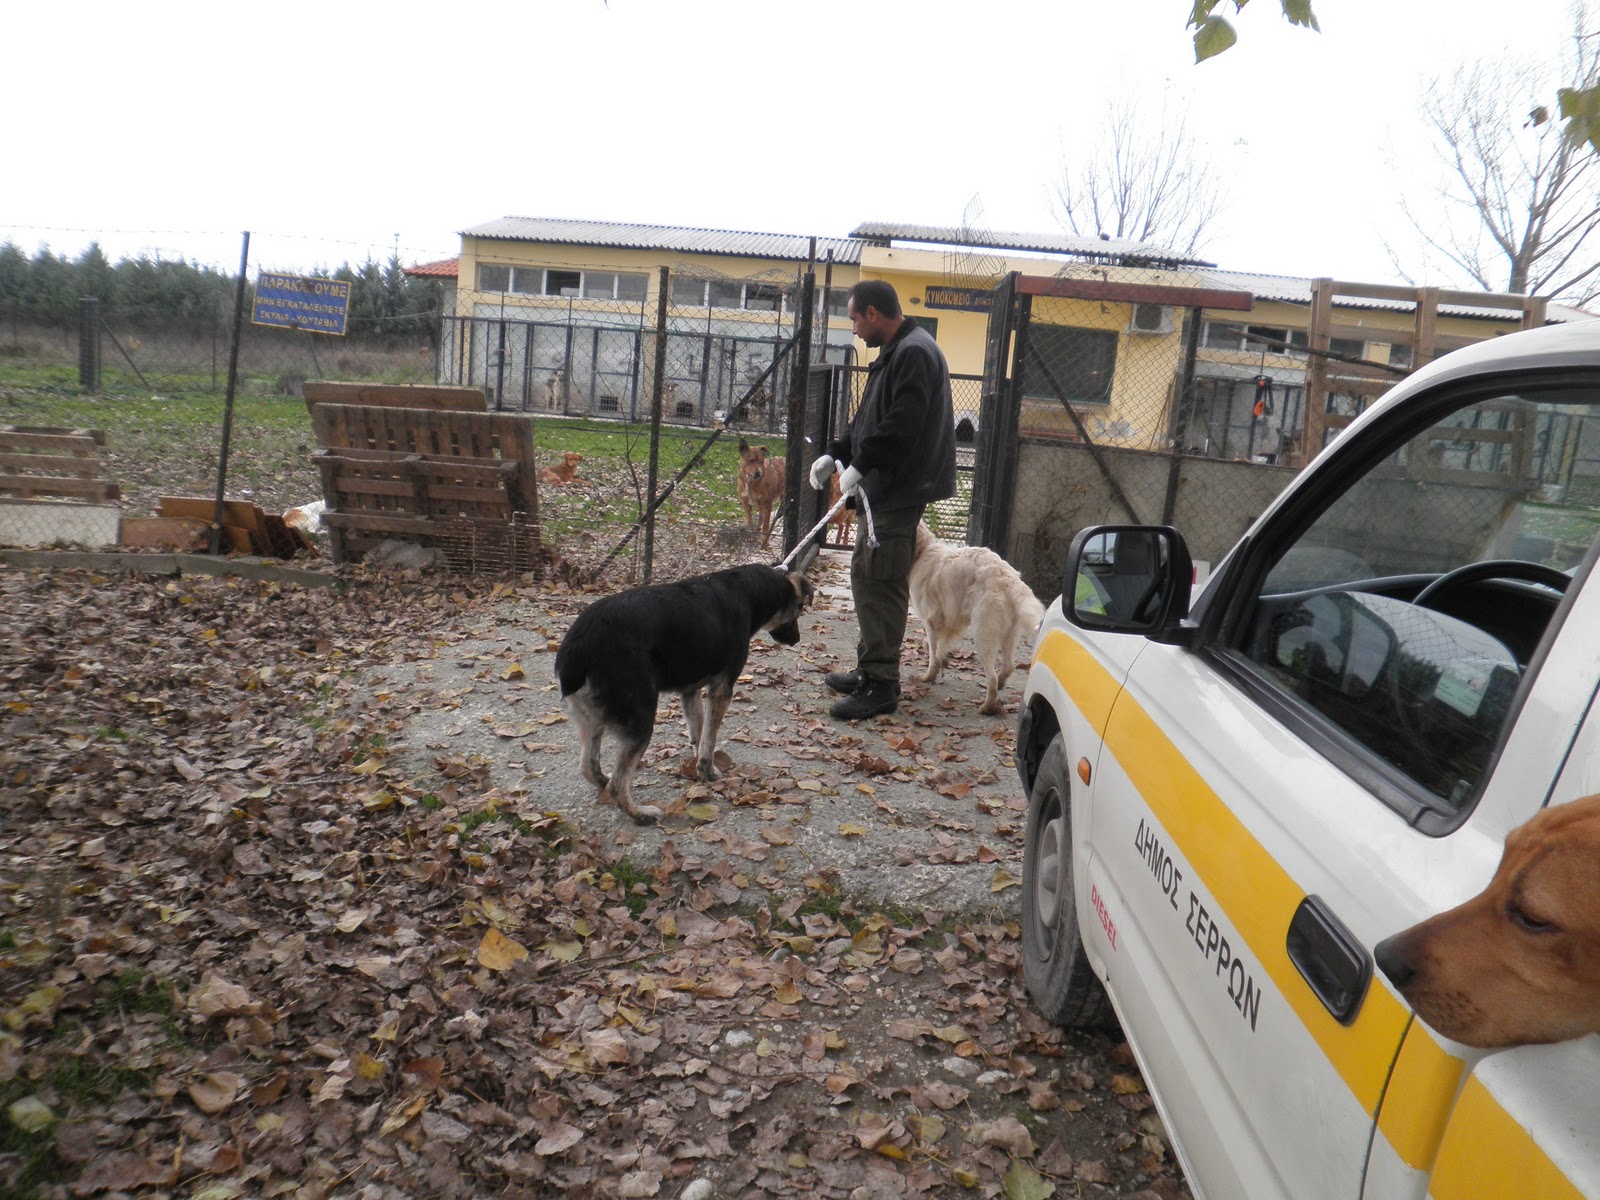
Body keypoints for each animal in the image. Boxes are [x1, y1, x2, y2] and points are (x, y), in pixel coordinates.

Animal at [560, 569, 812, 825]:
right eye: (800, 607)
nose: (797, 639)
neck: (750, 591)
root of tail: (578, 647)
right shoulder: (721, 691)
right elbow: (709, 738)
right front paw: (708, 771)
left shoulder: (690, 691)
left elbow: (698, 733)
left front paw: (698, 769)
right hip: (639, 719)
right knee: (617, 785)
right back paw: (641, 814)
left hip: (591, 720)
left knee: (588, 766)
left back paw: (604, 781)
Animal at [908, 524, 1043, 713]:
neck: (922, 552)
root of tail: (1010, 580)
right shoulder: (951, 622)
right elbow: (933, 646)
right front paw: (944, 661)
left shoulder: (931, 622)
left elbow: (933, 653)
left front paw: (929, 676)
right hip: (1008, 636)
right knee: (1008, 666)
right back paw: (1000, 686)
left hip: (981, 635)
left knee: (992, 677)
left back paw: (987, 707)